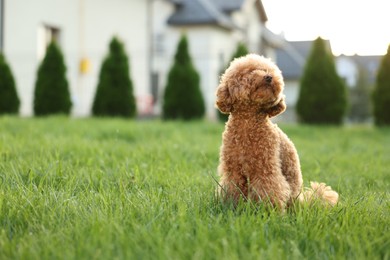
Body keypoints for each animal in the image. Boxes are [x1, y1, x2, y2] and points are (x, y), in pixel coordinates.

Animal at [216, 53, 338, 208]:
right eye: (251, 71)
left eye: (267, 70)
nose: (269, 77)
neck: (247, 123)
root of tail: (303, 201)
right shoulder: (233, 170)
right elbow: (233, 189)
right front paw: (233, 206)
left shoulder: (266, 169)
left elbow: (270, 189)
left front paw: (269, 210)